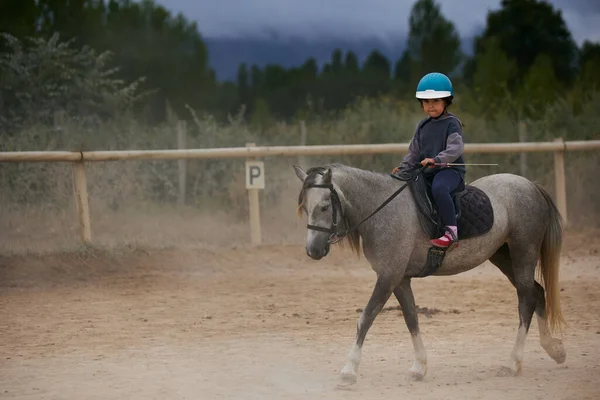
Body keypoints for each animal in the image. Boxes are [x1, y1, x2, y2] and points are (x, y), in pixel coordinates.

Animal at [296, 163, 568, 384]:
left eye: (324, 206)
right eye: (305, 207)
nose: (313, 250)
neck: (382, 209)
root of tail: (530, 185)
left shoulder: (388, 276)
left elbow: (366, 317)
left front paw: (349, 371)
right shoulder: (400, 280)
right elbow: (411, 319)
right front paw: (419, 367)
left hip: (523, 254)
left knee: (526, 301)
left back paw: (513, 363)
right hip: (503, 257)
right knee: (537, 292)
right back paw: (554, 350)